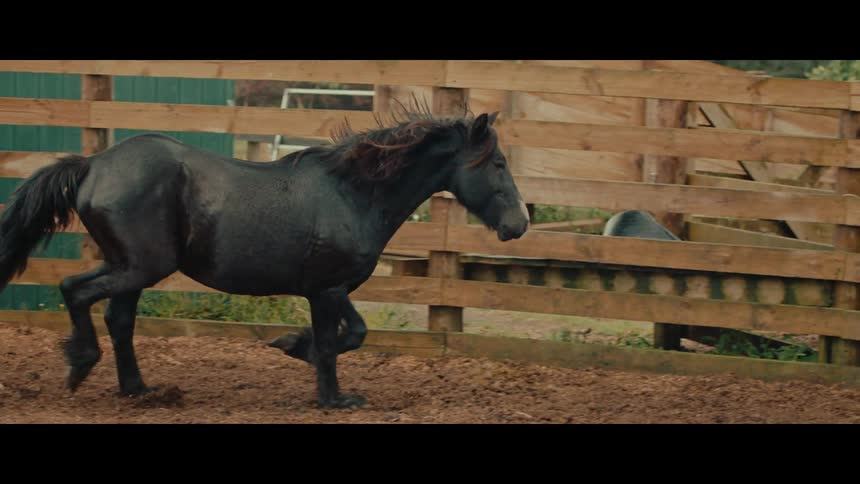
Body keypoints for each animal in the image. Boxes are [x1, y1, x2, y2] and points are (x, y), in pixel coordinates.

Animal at [0, 102, 530, 408]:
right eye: (498, 163)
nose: (519, 224)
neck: (353, 194)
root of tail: (92, 165)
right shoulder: (328, 288)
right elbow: (341, 340)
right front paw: (333, 396)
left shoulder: (329, 289)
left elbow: (345, 336)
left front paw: (298, 352)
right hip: (140, 266)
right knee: (75, 290)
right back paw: (80, 366)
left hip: (133, 268)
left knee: (118, 317)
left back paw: (139, 390)